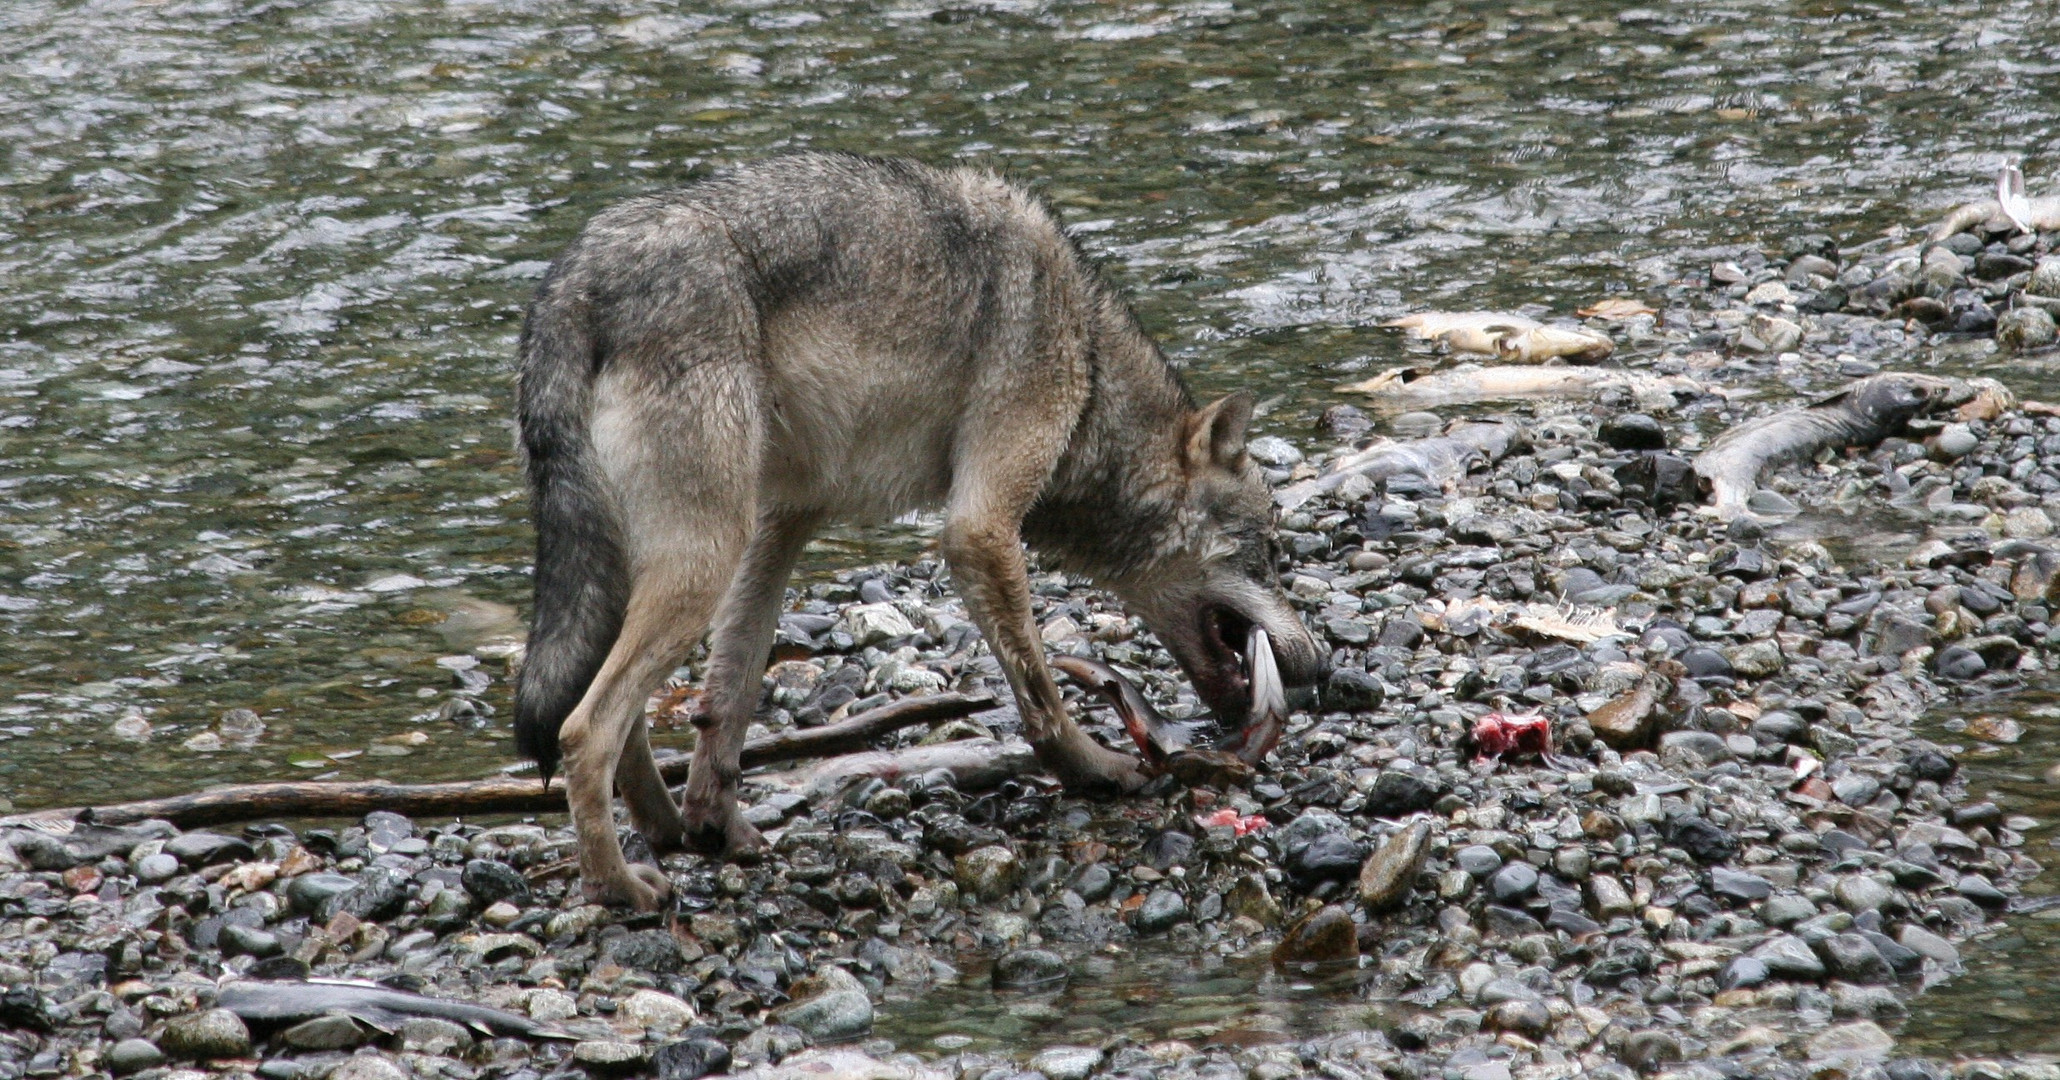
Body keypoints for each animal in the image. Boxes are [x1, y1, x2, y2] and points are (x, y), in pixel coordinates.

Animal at [506, 153, 1326, 910]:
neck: (1090, 363)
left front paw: (717, 826)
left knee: (623, 718)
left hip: (673, 560)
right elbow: (1039, 690)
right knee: (584, 731)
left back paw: (667, 831)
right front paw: (1094, 771)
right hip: (698, 562)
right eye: (1270, 550)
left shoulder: (781, 528)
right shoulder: (979, 529)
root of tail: (574, 283)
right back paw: (618, 887)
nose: (1319, 666)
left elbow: (729, 703)